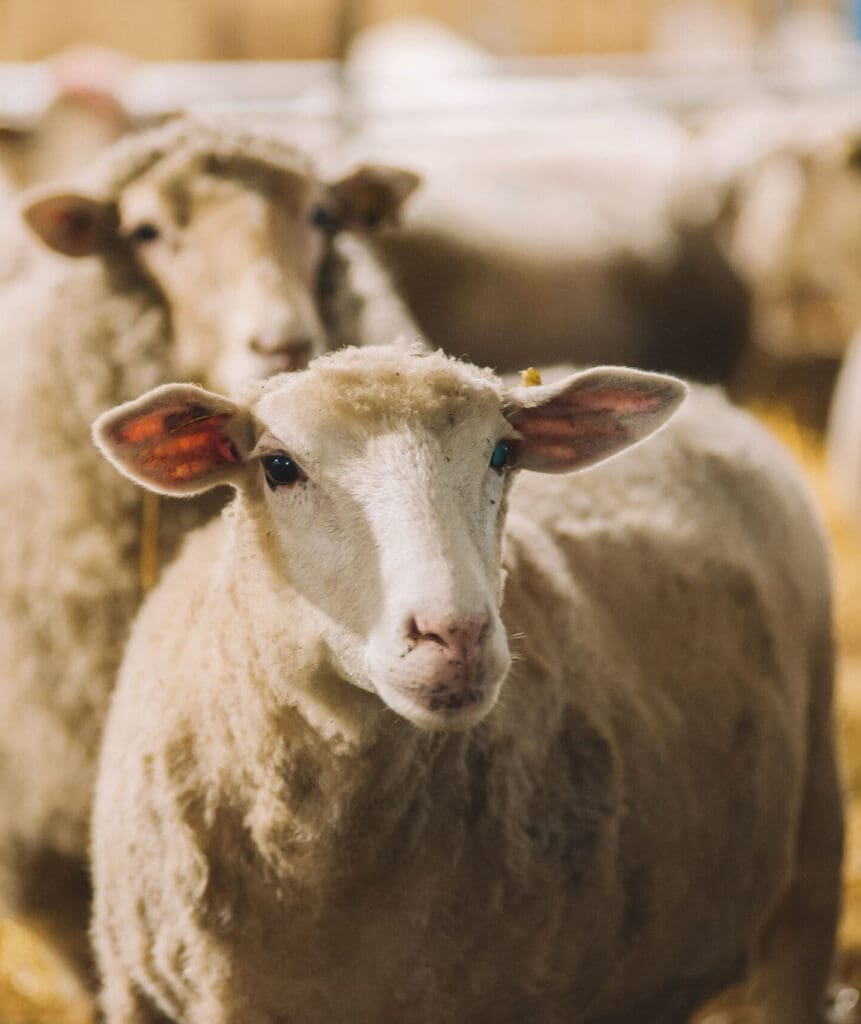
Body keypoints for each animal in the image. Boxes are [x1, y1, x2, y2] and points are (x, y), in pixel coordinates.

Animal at [91, 343, 842, 1024]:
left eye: (501, 455)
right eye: (279, 466)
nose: (455, 634)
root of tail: (718, 400)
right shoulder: (135, 996)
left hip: (811, 863)